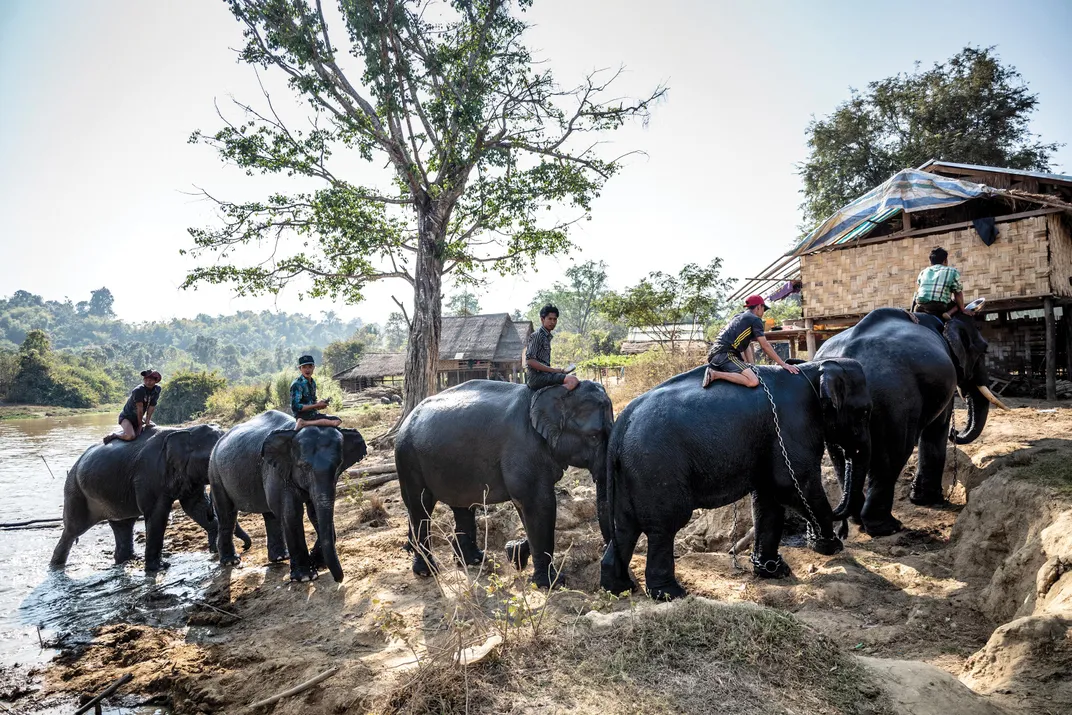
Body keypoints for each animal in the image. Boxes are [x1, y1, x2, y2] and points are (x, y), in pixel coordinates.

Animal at [52, 428, 252, 574]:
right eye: (210, 458)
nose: (245, 547)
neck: (185, 431)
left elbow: (195, 506)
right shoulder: (149, 476)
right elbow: (158, 514)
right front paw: (159, 568)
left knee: (123, 525)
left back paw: (128, 560)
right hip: (75, 491)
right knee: (73, 530)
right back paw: (56, 567)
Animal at [209, 411, 368, 583]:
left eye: (338, 465)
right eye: (304, 466)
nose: (339, 579)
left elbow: (314, 513)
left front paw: (317, 563)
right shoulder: (277, 471)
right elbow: (291, 513)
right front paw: (306, 576)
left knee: (270, 514)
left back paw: (280, 557)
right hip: (215, 474)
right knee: (227, 514)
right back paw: (231, 561)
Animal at [394, 379, 613, 587]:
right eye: (594, 436)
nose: (604, 550)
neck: (554, 391)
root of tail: (407, 418)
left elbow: (531, 507)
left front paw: (515, 553)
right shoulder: (523, 448)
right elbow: (538, 503)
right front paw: (551, 583)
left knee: (462, 507)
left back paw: (473, 560)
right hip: (408, 458)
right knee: (420, 507)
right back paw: (427, 571)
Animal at [604, 360, 870, 600]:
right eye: (865, 411)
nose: (842, 530)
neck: (813, 367)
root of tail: (620, 425)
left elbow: (767, 500)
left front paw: (774, 571)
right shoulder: (793, 426)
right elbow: (792, 486)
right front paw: (829, 547)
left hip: (630, 472)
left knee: (625, 527)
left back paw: (619, 589)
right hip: (656, 465)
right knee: (664, 526)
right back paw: (670, 594)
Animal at [814, 308, 1007, 535]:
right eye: (983, 350)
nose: (956, 433)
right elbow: (937, 427)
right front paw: (931, 500)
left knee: (841, 456)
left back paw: (858, 521)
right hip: (893, 401)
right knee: (894, 454)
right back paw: (887, 527)